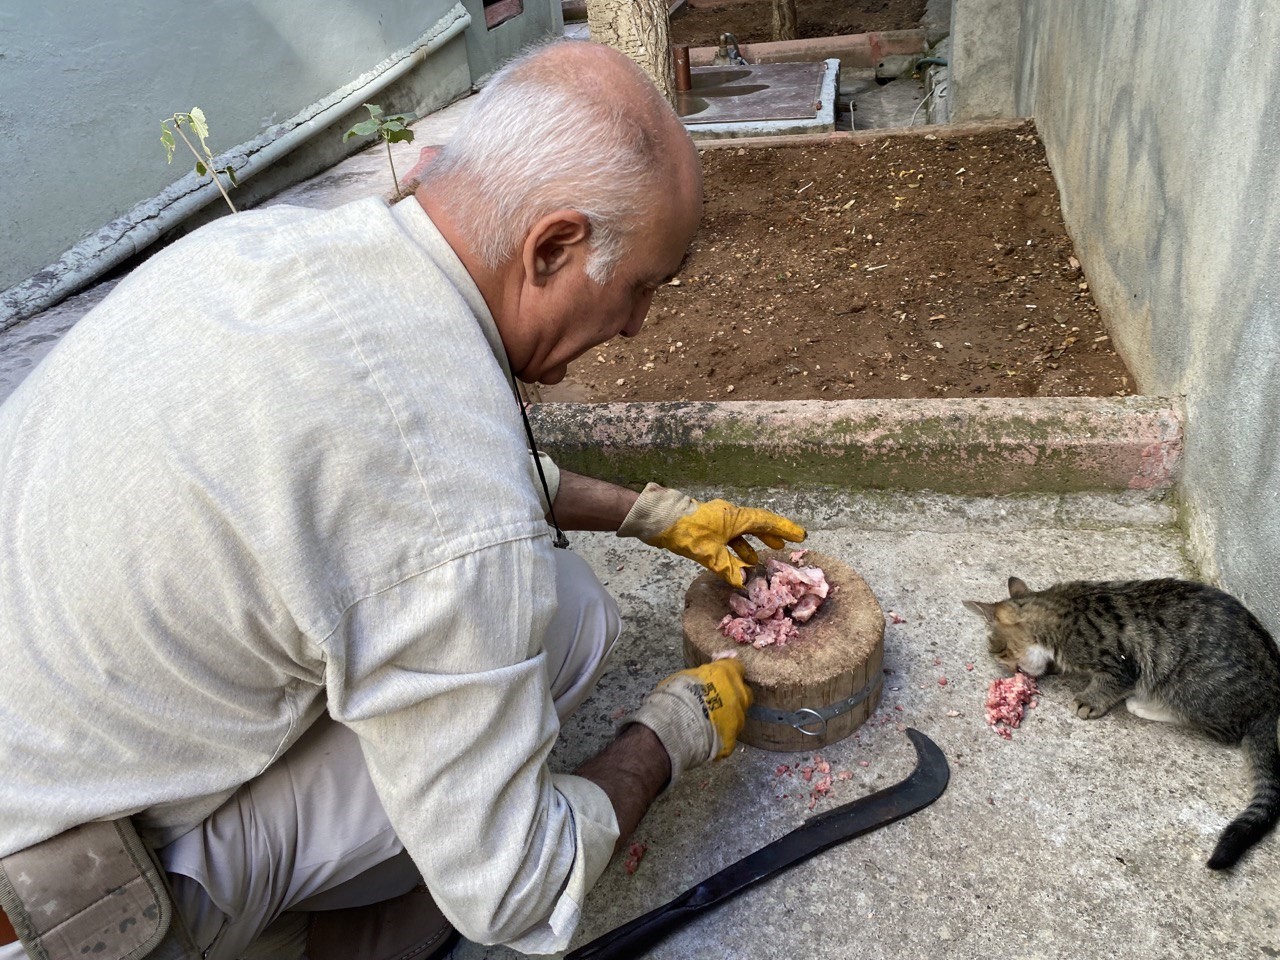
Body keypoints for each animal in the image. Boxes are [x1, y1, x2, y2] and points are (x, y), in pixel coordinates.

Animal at [962, 578, 1280, 870]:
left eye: (1001, 652)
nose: (1009, 670)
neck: (1061, 610)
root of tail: (1272, 699)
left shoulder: (1122, 665)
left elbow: (1111, 684)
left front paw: (1089, 700)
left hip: (1191, 686)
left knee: (1220, 728)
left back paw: (1148, 706)